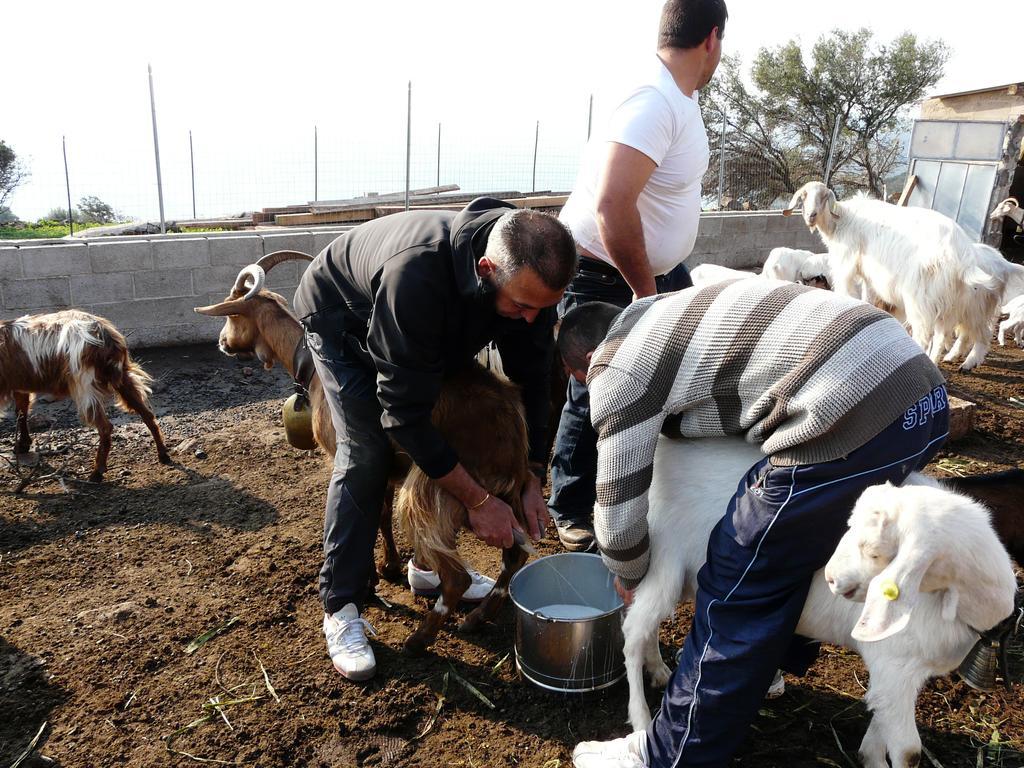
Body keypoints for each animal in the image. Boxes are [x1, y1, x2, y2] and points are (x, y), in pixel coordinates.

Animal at [0, 311, 169, 481]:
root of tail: (104, 335)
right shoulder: (20, 386)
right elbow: (20, 413)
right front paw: (22, 445)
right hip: (123, 378)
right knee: (147, 414)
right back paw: (163, 455)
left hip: (84, 384)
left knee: (105, 427)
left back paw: (96, 473)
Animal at [782, 181, 1024, 372]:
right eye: (803, 196)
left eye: (824, 197)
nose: (811, 216)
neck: (844, 220)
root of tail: (965, 255)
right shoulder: (870, 275)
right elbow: (868, 297)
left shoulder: (847, 263)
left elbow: (849, 290)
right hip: (962, 305)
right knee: (974, 334)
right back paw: (963, 362)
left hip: (927, 299)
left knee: (931, 335)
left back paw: (935, 359)